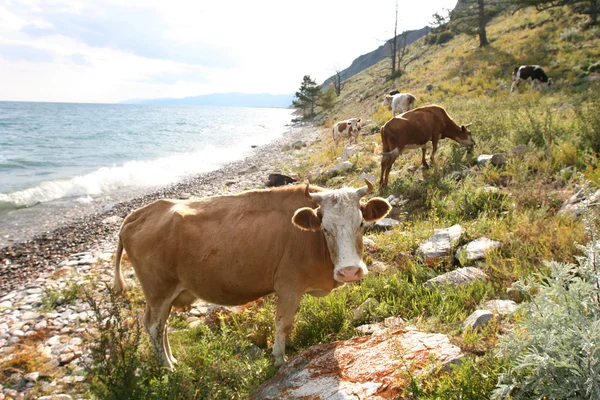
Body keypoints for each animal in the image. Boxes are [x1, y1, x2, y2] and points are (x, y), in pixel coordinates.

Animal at [114, 180, 392, 368]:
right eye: (325, 229)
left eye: (361, 224)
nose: (349, 271)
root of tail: (138, 214)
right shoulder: (288, 284)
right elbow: (283, 323)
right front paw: (279, 359)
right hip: (157, 290)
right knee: (153, 326)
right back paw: (168, 368)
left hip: (168, 293)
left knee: (162, 327)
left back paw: (172, 360)